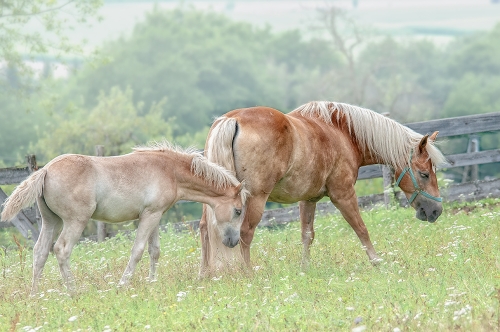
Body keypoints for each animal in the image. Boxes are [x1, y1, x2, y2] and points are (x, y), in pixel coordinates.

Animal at [0, 141, 249, 294]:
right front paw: (122, 285)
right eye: (238, 210)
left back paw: (34, 295)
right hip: (74, 221)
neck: (168, 169)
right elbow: (137, 251)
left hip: (52, 221)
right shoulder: (149, 216)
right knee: (61, 250)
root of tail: (45, 170)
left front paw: (151, 283)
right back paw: (74, 292)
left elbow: (154, 251)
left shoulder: (155, 215)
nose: (233, 241)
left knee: (40, 252)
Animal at [199, 100, 446, 274]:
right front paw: (377, 262)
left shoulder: (308, 200)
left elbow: (307, 235)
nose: (436, 211)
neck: (342, 132)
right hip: (256, 198)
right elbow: (361, 228)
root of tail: (232, 120)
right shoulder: (343, 195)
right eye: (424, 174)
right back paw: (248, 273)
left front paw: (304, 269)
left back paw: (204, 275)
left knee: (204, 229)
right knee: (245, 233)